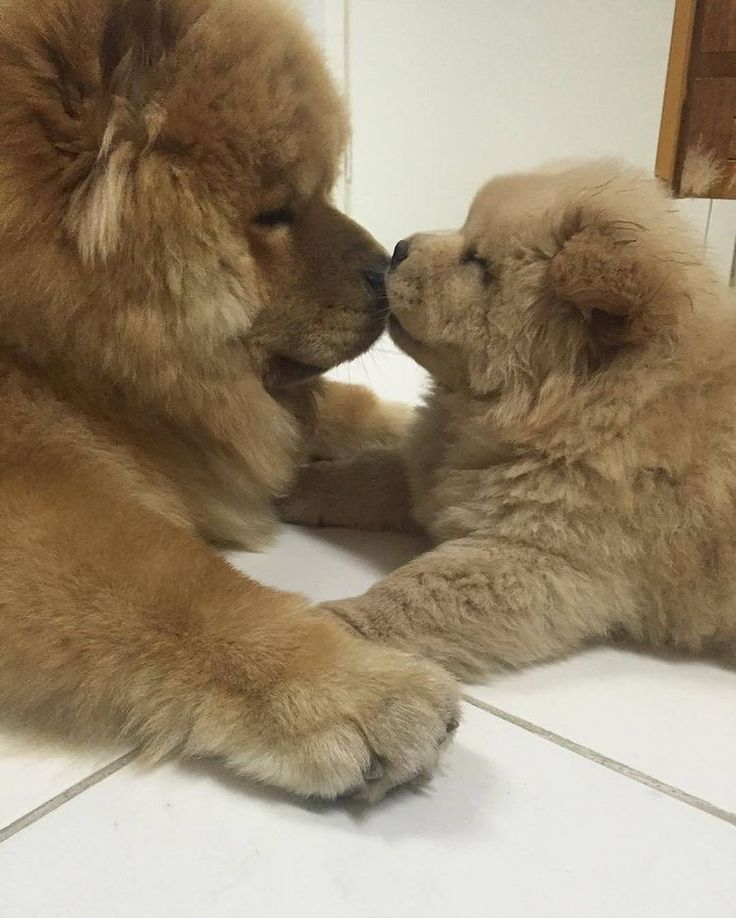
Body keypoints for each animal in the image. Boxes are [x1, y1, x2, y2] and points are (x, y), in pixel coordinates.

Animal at [0, 0, 460, 804]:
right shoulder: (33, 499)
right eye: (275, 211)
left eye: (324, 189)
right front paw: (351, 689)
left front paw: (411, 429)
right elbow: (186, 585)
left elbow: (328, 408)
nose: (388, 270)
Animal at [284, 160, 736, 676]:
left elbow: (412, 596)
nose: (397, 249)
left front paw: (325, 634)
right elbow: (366, 475)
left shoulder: (540, 558)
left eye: (479, 263)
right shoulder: (440, 474)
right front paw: (291, 486)